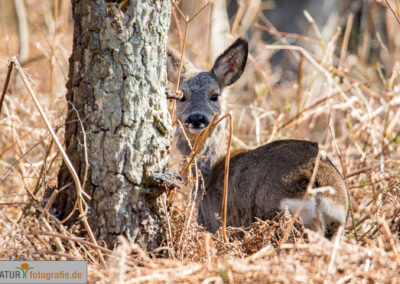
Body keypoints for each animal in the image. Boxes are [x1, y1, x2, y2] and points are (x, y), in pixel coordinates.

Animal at [167, 37, 348, 237]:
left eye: (214, 95)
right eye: (181, 96)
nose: (196, 118)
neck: (208, 174)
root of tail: (319, 188)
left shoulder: (213, 223)